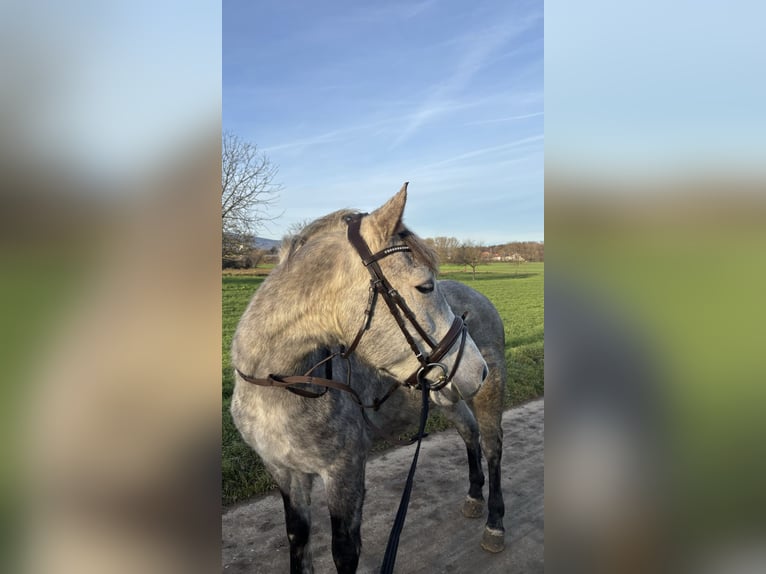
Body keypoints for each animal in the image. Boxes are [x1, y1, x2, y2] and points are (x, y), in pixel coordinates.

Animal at [230, 185, 506, 573]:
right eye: (425, 286)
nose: (477, 369)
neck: (278, 387)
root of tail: (478, 295)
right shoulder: (285, 474)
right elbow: (297, 539)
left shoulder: (343, 473)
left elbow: (344, 551)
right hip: (447, 398)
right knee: (469, 432)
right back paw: (474, 496)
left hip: (488, 395)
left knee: (493, 447)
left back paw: (495, 523)